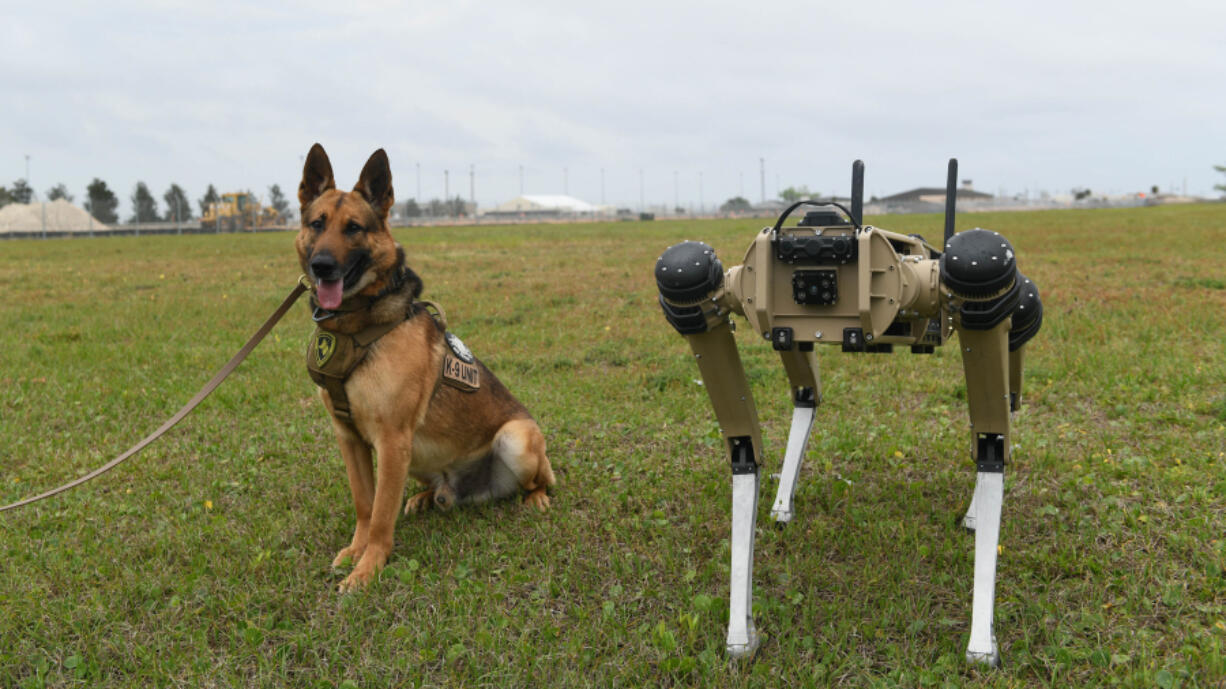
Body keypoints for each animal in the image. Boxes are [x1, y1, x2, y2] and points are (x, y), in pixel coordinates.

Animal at [294, 142, 554, 588]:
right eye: (317, 223)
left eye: (354, 228)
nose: (322, 266)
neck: (358, 323)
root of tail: (460, 489)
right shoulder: (350, 439)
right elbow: (366, 505)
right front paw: (355, 552)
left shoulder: (391, 440)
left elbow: (381, 515)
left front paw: (367, 570)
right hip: (416, 457)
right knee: (427, 489)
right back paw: (425, 497)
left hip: (514, 439)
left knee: (537, 483)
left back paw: (535, 498)